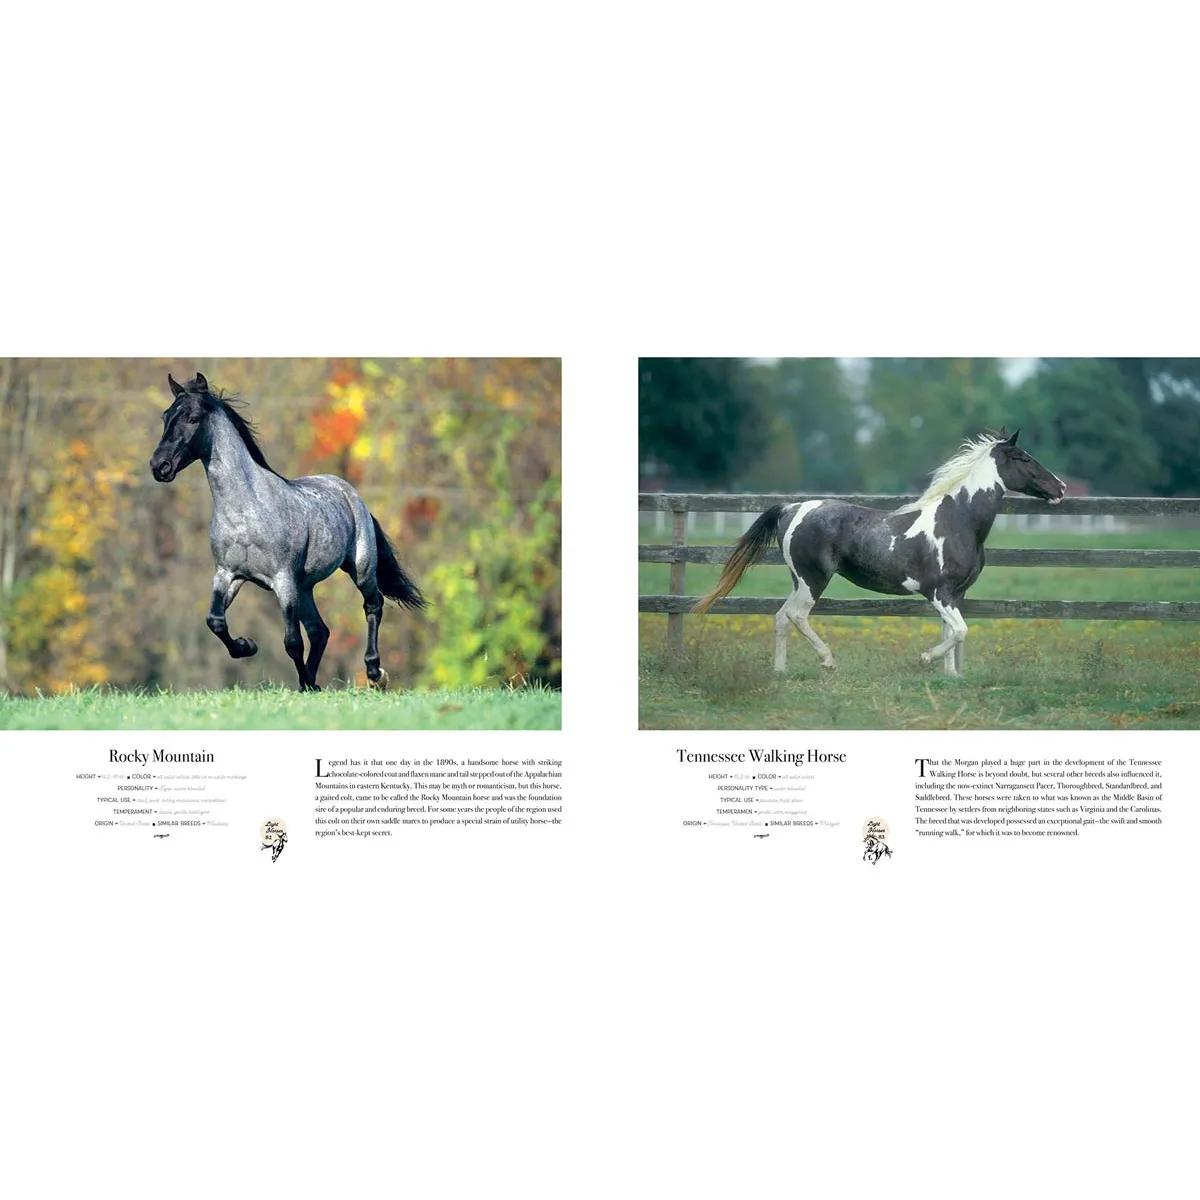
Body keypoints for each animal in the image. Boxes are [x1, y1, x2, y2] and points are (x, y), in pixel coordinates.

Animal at [149, 372, 424, 691]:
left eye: (193, 418)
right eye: (165, 416)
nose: (159, 466)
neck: (246, 510)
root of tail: (351, 494)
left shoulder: (283, 580)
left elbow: (292, 642)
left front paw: (305, 681)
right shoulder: (228, 574)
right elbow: (215, 621)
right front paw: (247, 646)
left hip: (360, 569)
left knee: (373, 606)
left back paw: (374, 673)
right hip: (305, 587)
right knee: (320, 630)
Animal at [694, 429, 1066, 677]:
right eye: (1024, 458)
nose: (1060, 488)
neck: (958, 521)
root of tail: (792, 509)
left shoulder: (955, 594)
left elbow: (953, 631)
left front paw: (951, 676)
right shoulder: (939, 593)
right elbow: (960, 631)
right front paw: (925, 659)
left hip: (798, 580)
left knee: (781, 617)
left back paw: (780, 671)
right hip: (814, 579)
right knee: (798, 616)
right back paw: (827, 660)